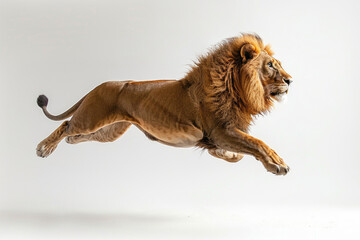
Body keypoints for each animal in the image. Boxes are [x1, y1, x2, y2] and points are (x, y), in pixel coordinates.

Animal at [35, 33, 292, 175]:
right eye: (270, 65)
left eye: (278, 64)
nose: (291, 80)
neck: (239, 90)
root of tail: (97, 87)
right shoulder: (219, 130)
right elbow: (258, 143)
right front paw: (277, 165)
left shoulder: (218, 135)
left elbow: (240, 150)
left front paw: (229, 155)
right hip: (91, 118)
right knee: (66, 125)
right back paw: (43, 148)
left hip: (110, 130)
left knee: (74, 136)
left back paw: (59, 144)